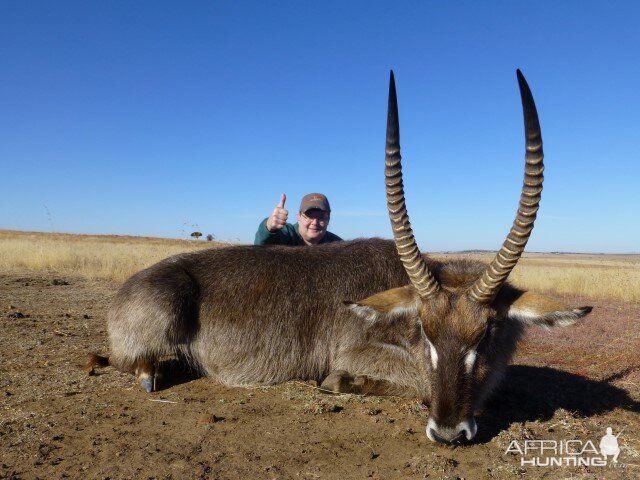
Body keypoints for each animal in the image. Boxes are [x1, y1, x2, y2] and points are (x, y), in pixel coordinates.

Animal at [90, 70, 592, 442]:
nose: (449, 432)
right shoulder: (359, 351)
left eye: (488, 332)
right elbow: (403, 377)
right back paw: (151, 373)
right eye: (424, 332)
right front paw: (342, 382)